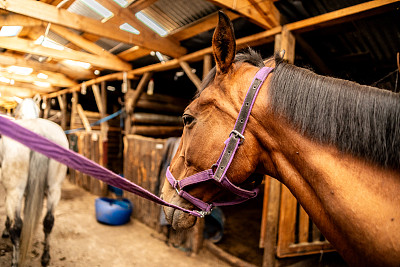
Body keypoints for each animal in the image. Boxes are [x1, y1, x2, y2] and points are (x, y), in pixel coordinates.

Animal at [0, 99, 67, 267]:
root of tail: (38, 131)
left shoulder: (10, 190)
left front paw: (5, 230)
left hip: (15, 191)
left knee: (17, 227)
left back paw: (15, 262)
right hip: (54, 189)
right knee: (49, 221)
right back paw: (45, 257)